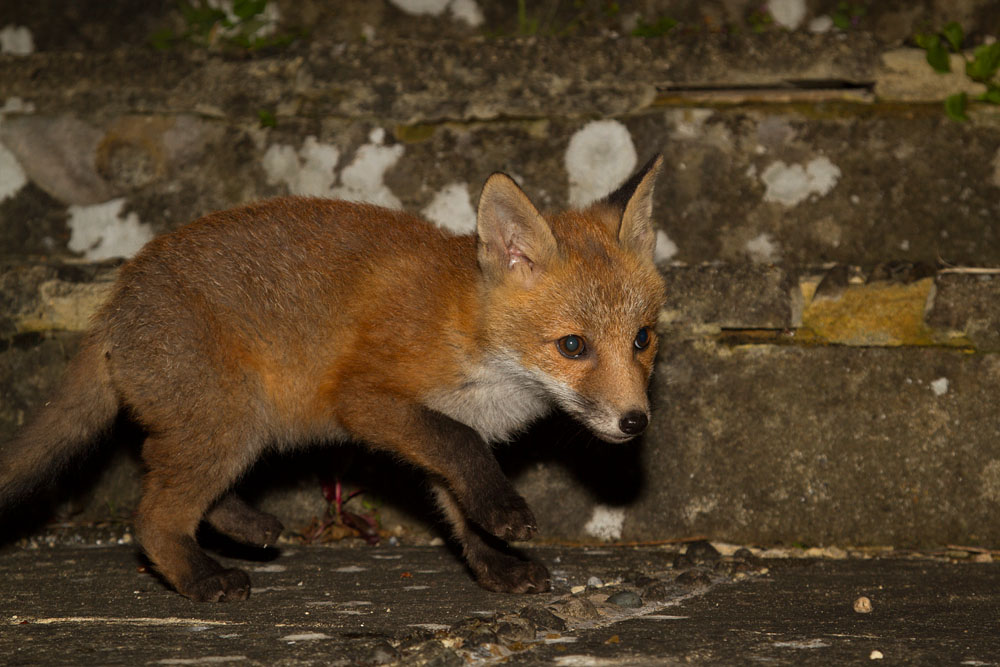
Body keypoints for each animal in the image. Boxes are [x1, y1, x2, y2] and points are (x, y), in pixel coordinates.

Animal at [0, 154, 666, 602]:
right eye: (573, 346)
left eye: (642, 339)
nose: (635, 422)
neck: (471, 334)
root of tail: (113, 304)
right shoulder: (370, 402)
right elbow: (463, 451)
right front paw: (507, 517)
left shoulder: (438, 429)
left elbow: (459, 504)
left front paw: (495, 565)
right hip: (232, 420)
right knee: (151, 516)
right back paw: (202, 578)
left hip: (234, 428)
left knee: (170, 479)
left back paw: (249, 524)